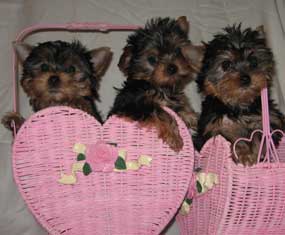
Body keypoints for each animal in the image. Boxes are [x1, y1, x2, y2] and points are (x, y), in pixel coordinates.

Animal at [107, 17, 203, 152]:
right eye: (152, 59)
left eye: (177, 50)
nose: (172, 68)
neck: (159, 87)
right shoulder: (134, 103)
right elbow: (162, 112)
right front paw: (174, 137)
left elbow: (182, 106)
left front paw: (193, 117)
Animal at [194, 24, 282, 165]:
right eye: (226, 64)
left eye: (254, 61)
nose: (246, 78)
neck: (239, 106)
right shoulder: (215, 128)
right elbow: (233, 140)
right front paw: (244, 155)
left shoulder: (268, 120)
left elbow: (259, 137)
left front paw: (255, 156)